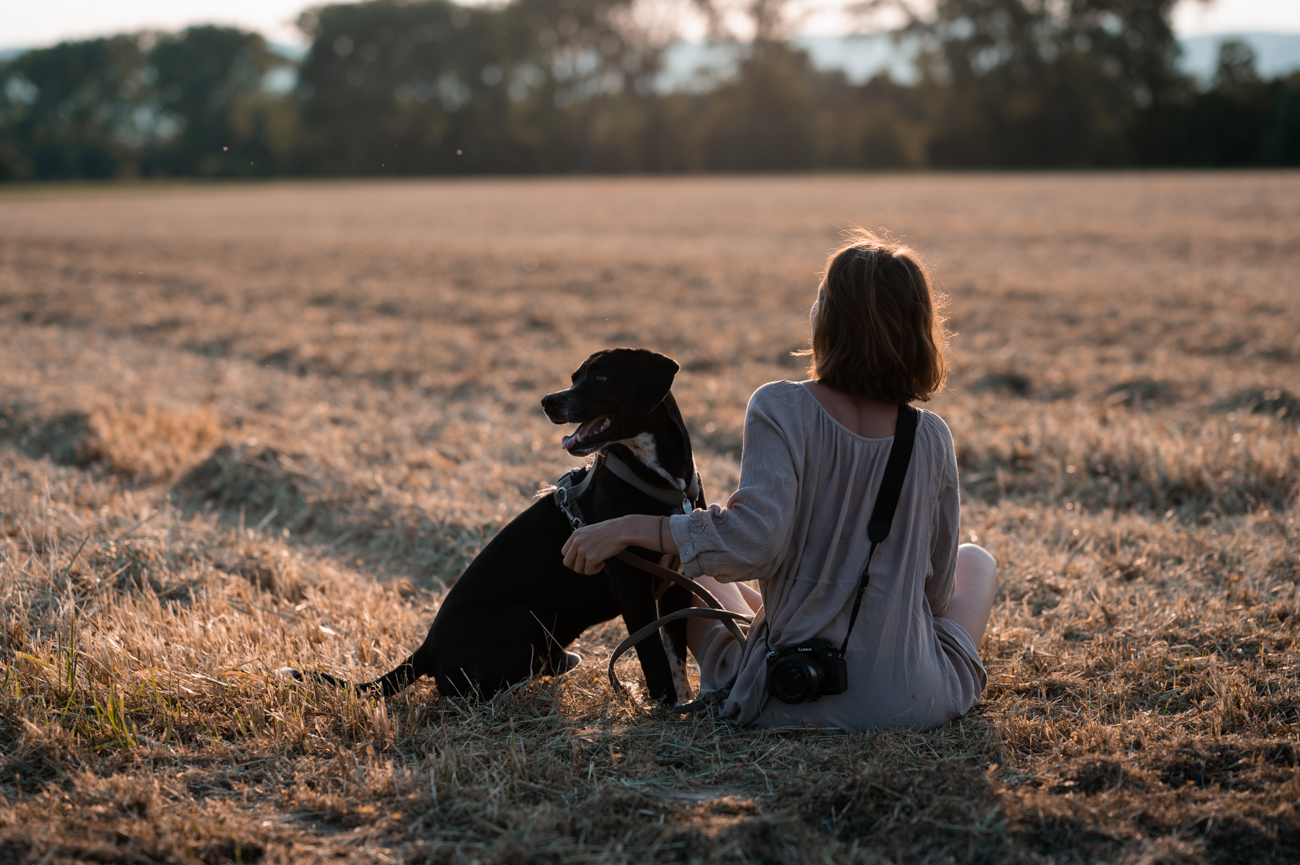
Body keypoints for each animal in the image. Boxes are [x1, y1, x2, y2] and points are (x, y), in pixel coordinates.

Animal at [293, 348, 702, 707]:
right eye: (575, 377)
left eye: (600, 377)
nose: (548, 401)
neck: (661, 480)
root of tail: (429, 645)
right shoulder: (632, 588)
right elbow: (653, 656)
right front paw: (667, 707)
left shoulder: (677, 585)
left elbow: (675, 653)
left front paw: (685, 701)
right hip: (522, 619)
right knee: (468, 690)